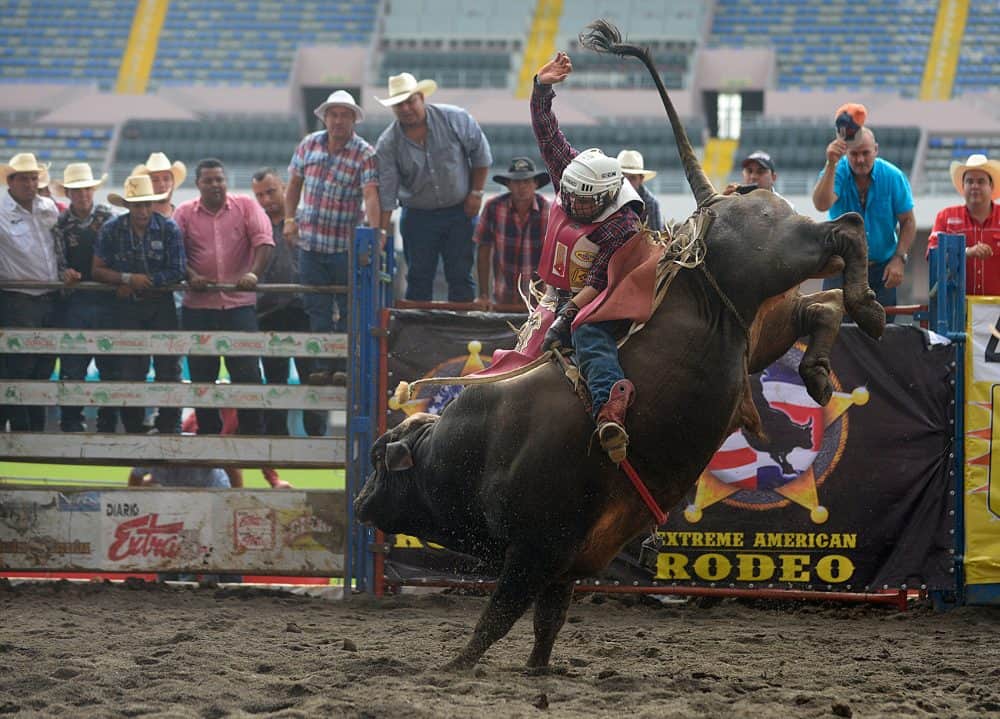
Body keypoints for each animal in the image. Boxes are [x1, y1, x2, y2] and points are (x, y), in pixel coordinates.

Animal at [352, 22, 884, 676]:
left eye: (381, 461)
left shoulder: (534, 550)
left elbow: (497, 617)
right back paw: (821, 364)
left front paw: (458, 665)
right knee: (822, 307)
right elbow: (547, 625)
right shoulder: (565, 563)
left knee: (847, 230)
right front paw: (537, 671)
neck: (479, 445)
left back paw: (868, 308)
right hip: (767, 323)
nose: (360, 503)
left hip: (780, 256)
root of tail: (713, 204)